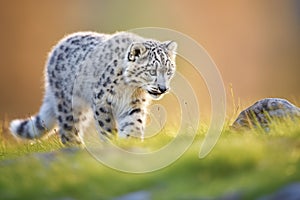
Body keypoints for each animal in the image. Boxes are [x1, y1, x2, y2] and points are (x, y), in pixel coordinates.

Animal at [9, 31, 178, 145]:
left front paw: (131, 141)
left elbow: (133, 123)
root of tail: (56, 48)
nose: (163, 88)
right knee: (68, 130)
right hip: (70, 105)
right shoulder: (102, 101)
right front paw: (112, 143)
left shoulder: (134, 104)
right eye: (152, 71)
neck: (130, 88)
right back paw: (77, 148)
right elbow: (106, 127)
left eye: (169, 70)